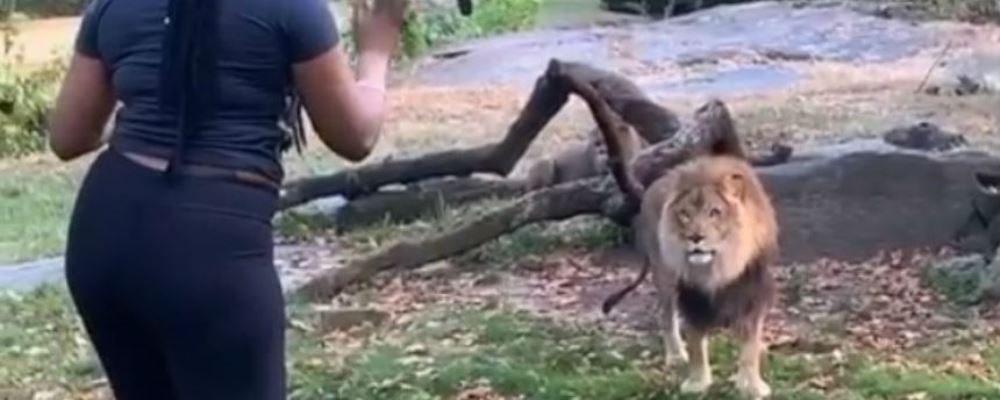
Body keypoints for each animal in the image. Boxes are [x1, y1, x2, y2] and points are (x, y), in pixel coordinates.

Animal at [603, 154, 780, 399]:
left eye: (714, 212)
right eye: (685, 214)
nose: (695, 237)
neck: (718, 268)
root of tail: (650, 188)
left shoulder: (752, 293)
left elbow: (750, 347)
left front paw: (751, 386)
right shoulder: (690, 296)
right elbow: (696, 343)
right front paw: (697, 383)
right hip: (664, 277)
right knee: (666, 316)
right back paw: (676, 355)